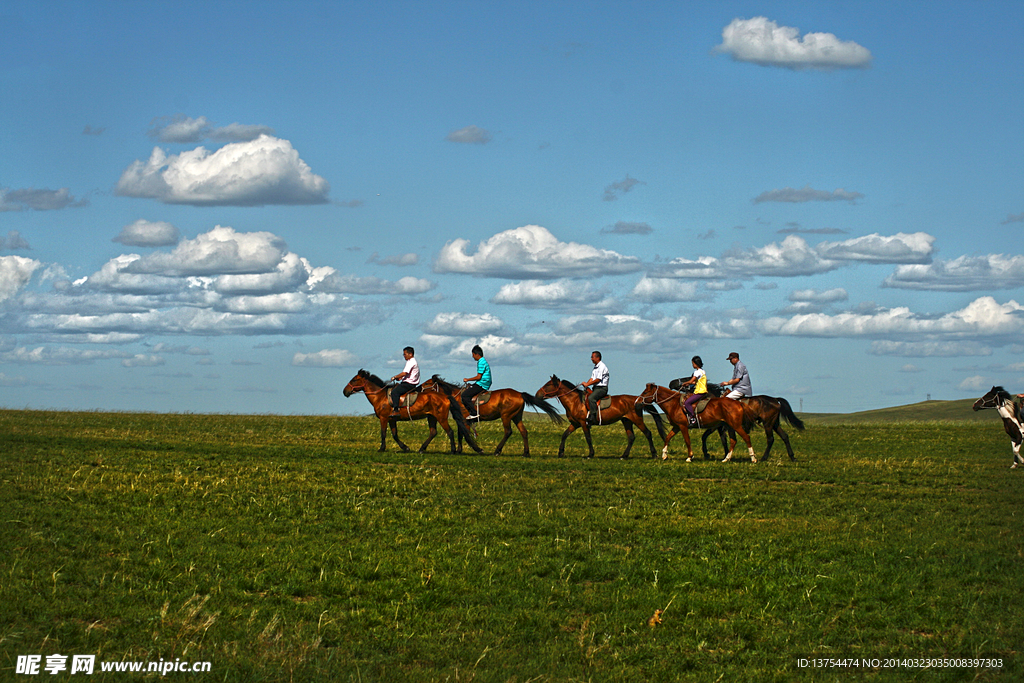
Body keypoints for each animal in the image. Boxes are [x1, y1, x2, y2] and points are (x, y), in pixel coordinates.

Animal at [339, 368, 475, 454]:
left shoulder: (383, 418)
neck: (380, 396)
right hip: (431, 417)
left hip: (441, 417)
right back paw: (421, 449)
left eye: (354, 380)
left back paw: (452, 450)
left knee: (450, 431)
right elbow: (394, 435)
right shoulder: (391, 420)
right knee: (433, 432)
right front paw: (405, 448)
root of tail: (445, 396)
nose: (345, 391)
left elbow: (383, 433)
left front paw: (381, 448)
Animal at [425, 376, 569, 456]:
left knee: (508, 432)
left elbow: (465, 435)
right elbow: (461, 434)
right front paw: (459, 450)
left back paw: (497, 451)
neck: (457, 397)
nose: (420, 387)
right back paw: (526, 453)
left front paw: (477, 449)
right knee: (524, 431)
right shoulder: (461, 420)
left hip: (506, 416)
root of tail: (519, 394)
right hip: (516, 416)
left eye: (427, 383)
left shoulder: (465, 420)